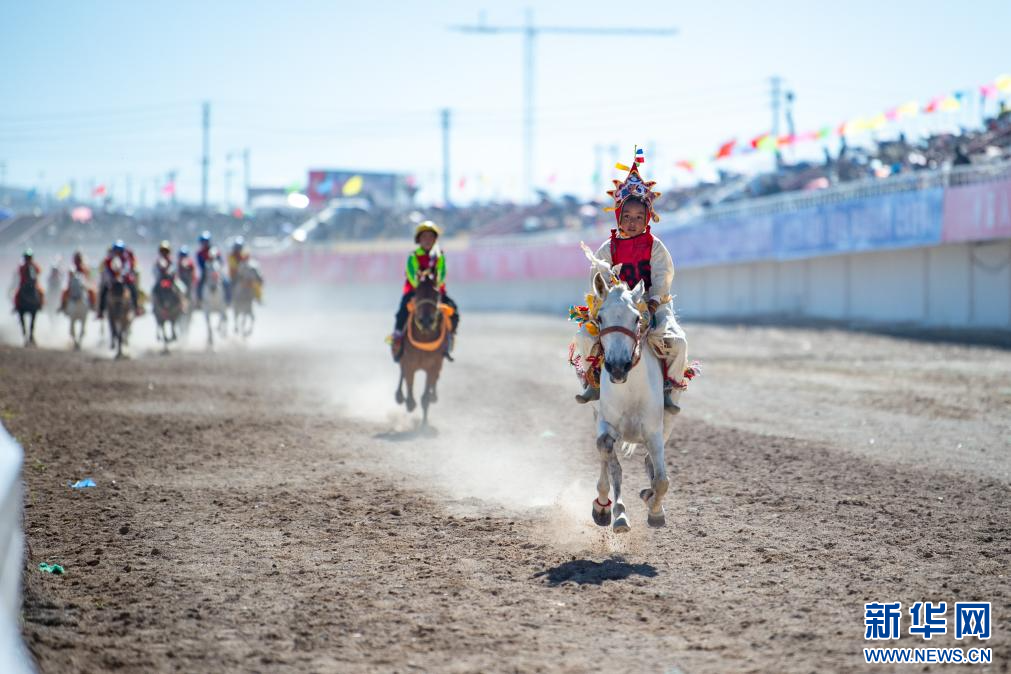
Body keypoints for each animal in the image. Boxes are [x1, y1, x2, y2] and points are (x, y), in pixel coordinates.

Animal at [392, 270, 452, 424]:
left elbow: (426, 397)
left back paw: (433, 395)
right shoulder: (409, 363)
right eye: (417, 292)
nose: (425, 321)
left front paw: (424, 425)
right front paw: (409, 403)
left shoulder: (433, 365)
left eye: (436, 294)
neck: (424, 338)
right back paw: (399, 396)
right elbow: (408, 379)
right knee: (401, 372)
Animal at [586, 270, 679, 533]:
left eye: (637, 318)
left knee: (651, 464)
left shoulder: (654, 432)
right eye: (600, 317)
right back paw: (606, 507)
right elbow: (610, 459)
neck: (630, 391)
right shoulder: (605, 424)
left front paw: (655, 510)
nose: (618, 367)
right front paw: (616, 512)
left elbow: (662, 480)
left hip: (668, 424)